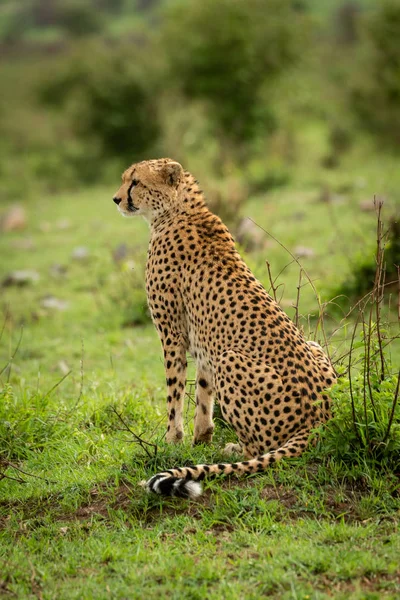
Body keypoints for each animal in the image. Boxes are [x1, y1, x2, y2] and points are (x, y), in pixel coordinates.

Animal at [113, 158, 338, 496]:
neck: (177, 210)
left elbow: (174, 393)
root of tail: (319, 417)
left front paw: (171, 441)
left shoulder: (172, 334)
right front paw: (200, 438)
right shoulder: (205, 343)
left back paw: (232, 449)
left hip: (229, 358)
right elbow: (203, 394)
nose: (116, 199)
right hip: (312, 346)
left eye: (135, 181)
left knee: (260, 448)